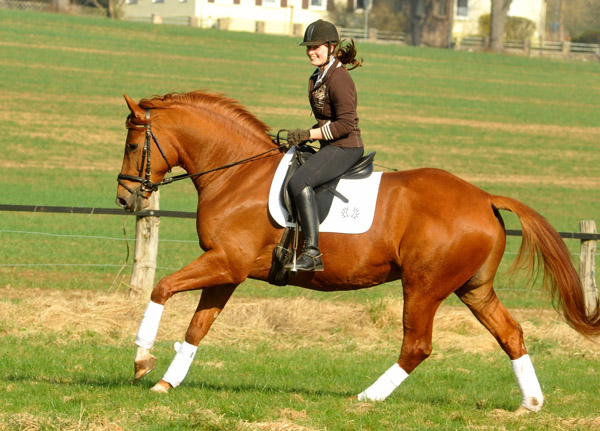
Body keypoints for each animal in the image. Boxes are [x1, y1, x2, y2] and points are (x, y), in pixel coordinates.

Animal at [115, 90, 596, 412]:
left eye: (134, 145)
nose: (125, 198)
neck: (237, 174)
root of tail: (483, 198)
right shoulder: (228, 271)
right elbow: (197, 329)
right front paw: (167, 382)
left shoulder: (224, 263)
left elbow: (161, 288)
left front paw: (141, 360)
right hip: (473, 288)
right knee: (510, 333)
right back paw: (530, 404)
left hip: (423, 286)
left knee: (417, 346)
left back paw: (366, 397)